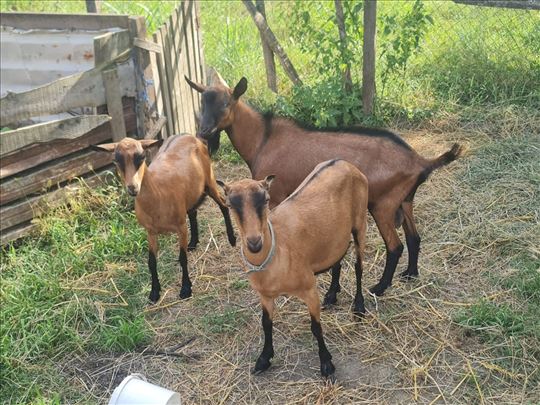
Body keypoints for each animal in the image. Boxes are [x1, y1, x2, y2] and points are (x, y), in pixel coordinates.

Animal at [93, 134, 236, 302]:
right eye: (116, 160)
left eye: (142, 157)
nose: (133, 188)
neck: (158, 190)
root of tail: (190, 135)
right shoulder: (150, 232)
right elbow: (151, 262)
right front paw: (154, 292)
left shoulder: (181, 227)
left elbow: (182, 258)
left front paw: (186, 289)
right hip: (191, 193)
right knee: (193, 212)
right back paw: (193, 243)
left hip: (209, 181)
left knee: (223, 205)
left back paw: (232, 239)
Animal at [187, 75, 464, 296]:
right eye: (202, 104)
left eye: (226, 104)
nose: (204, 131)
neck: (263, 139)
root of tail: (419, 161)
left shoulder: (275, 196)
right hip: (404, 201)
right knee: (414, 237)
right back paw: (410, 274)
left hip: (382, 205)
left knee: (395, 247)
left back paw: (379, 288)